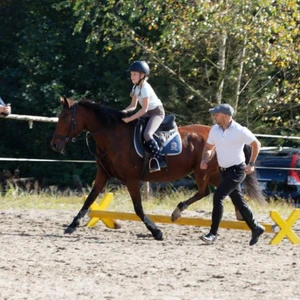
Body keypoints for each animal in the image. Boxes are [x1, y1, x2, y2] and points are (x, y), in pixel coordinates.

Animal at [51, 97, 264, 240]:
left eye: (64, 118)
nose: (54, 145)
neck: (112, 136)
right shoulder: (103, 174)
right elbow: (89, 199)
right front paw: (72, 225)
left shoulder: (131, 179)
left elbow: (138, 208)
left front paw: (157, 231)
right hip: (212, 173)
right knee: (227, 191)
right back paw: (242, 217)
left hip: (202, 172)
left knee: (207, 192)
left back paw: (178, 212)